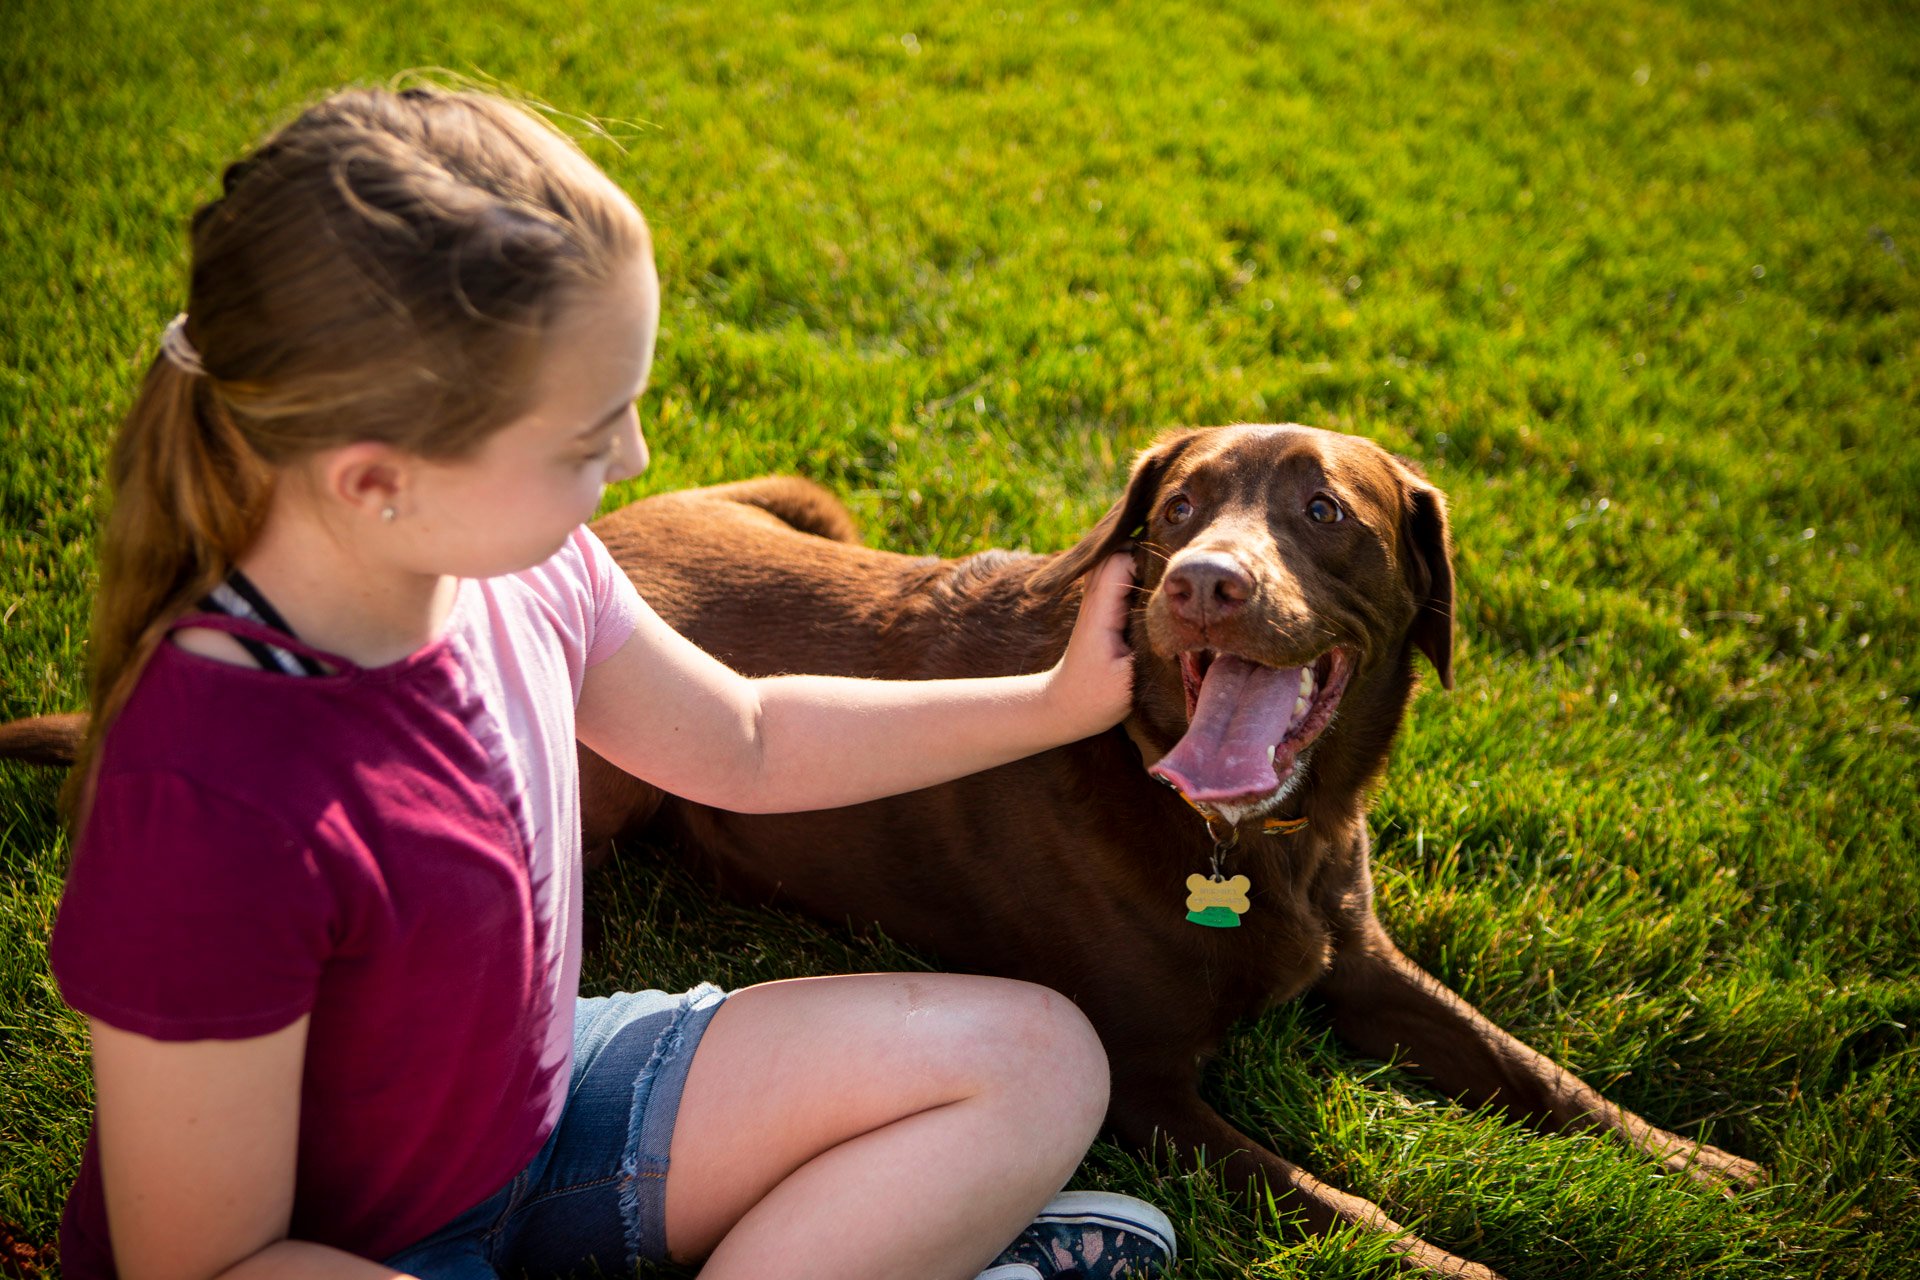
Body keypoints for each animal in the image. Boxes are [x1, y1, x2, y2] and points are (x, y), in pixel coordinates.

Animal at [576, 427, 1758, 1280]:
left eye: (1325, 511)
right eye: (1180, 507)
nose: (1203, 581)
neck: (1253, 834)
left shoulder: (1362, 963)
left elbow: (1539, 1072)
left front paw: (1710, 1171)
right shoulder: (1142, 1082)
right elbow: (1335, 1198)